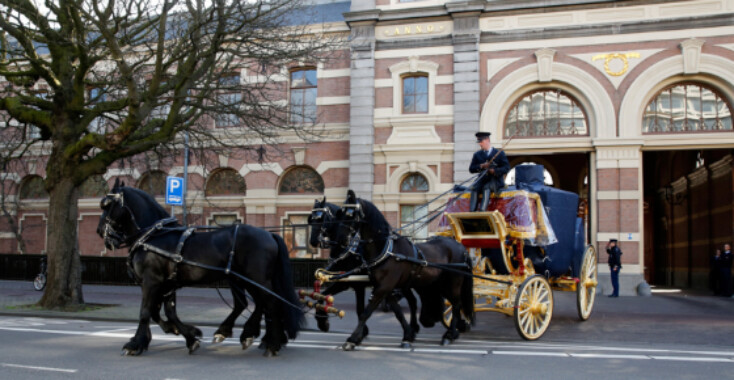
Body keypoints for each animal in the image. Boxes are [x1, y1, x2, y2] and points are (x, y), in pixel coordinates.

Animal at [98, 181, 304, 356]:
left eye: (107, 205)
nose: (100, 231)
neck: (153, 236)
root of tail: (270, 235)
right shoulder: (167, 284)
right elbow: (166, 312)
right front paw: (188, 335)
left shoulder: (151, 281)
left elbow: (146, 311)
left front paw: (135, 344)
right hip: (241, 279)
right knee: (252, 304)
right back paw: (249, 335)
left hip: (256, 279)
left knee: (270, 304)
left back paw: (270, 343)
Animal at [306, 197, 420, 336]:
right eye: (311, 219)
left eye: (321, 217)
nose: (313, 241)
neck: (349, 250)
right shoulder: (343, 281)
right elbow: (322, 297)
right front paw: (323, 322)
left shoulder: (357, 284)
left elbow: (359, 309)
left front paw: (362, 331)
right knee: (412, 301)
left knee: (411, 301)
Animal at [334, 190, 474, 350]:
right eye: (340, 212)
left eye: (350, 213)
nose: (340, 239)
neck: (386, 250)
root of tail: (460, 247)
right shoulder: (385, 288)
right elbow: (398, 312)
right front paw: (408, 335)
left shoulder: (384, 287)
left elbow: (366, 312)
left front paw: (352, 339)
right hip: (439, 284)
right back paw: (452, 333)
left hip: (452, 284)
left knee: (456, 305)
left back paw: (450, 335)